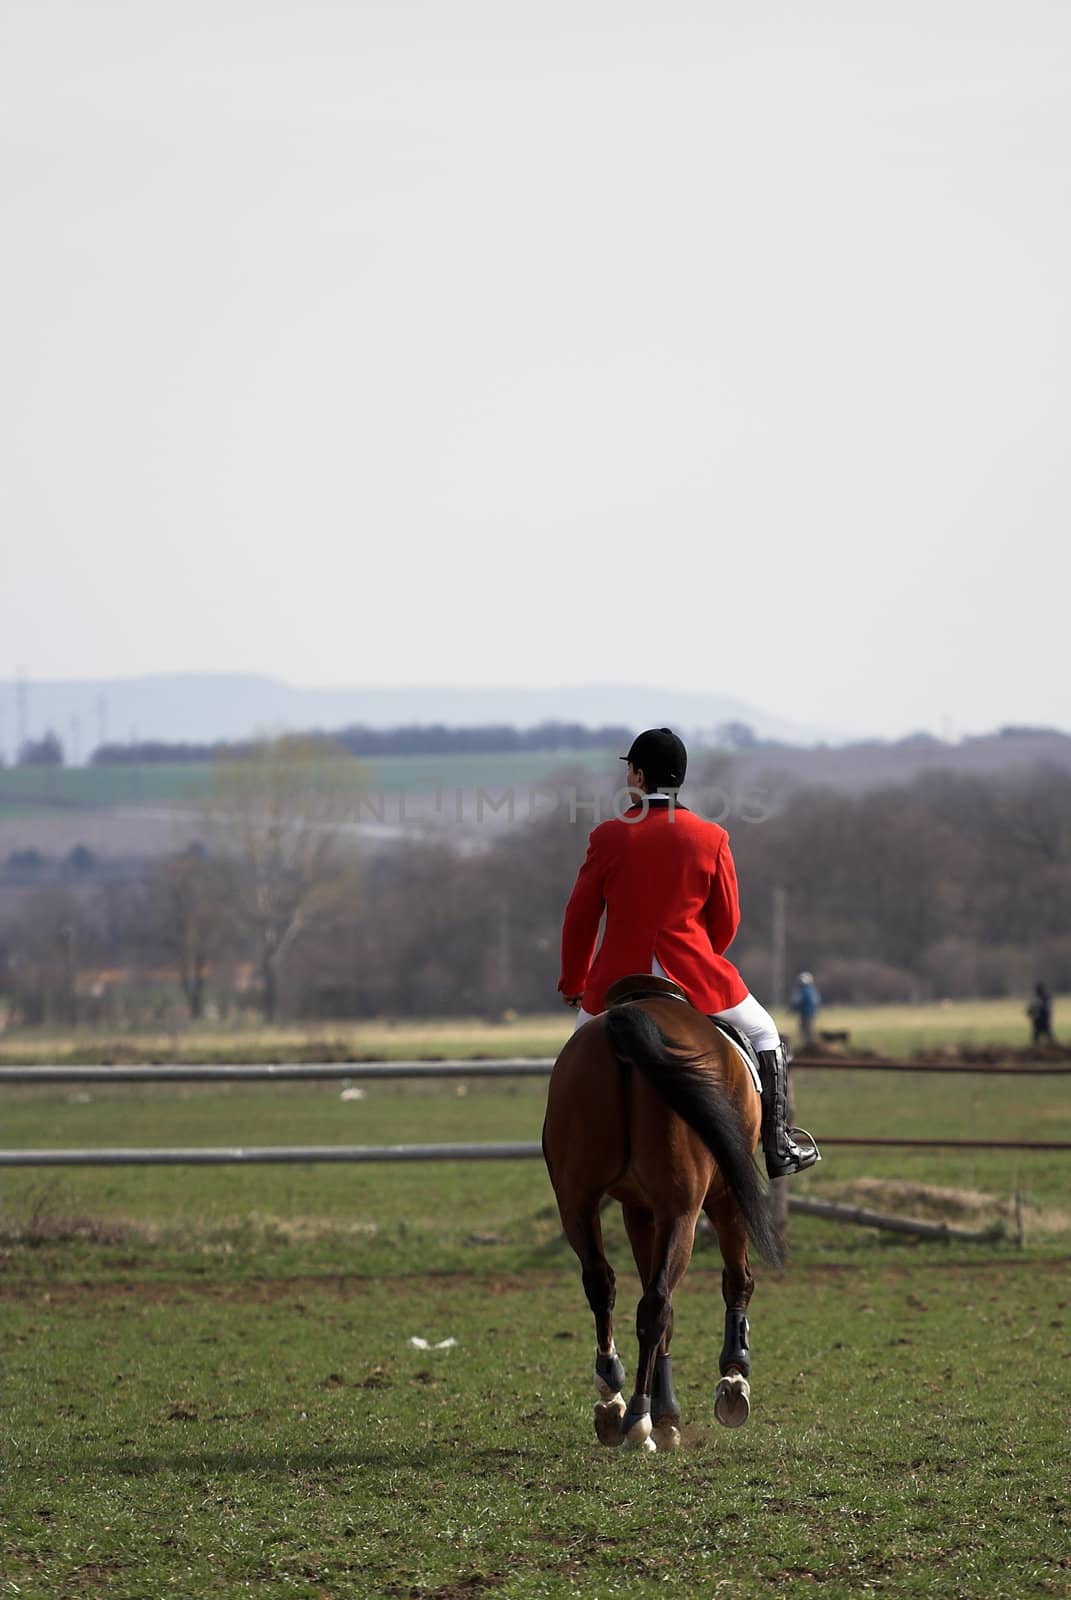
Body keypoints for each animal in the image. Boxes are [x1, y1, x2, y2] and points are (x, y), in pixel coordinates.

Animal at [537, 972, 781, 1452]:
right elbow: (736, 1281)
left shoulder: (638, 1210)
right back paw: (636, 1416)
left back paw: (611, 1397)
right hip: (684, 1207)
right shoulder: (721, 1196)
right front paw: (733, 1378)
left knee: (602, 1284)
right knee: (656, 1303)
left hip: (576, 1199)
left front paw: (667, 1415)